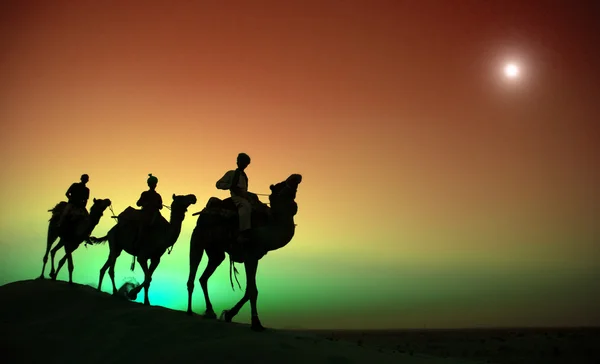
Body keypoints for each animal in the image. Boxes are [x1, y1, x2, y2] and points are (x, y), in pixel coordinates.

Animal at [186, 175, 302, 332]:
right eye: (280, 184)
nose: (296, 176)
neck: (268, 229)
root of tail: (203, 214)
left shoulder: (256, 257)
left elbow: (249, 290)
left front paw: (229, 314)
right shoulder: (250, 255)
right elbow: (253, 291)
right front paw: (256, 323)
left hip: (216, 252)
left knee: (204, 277)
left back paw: (210, 311)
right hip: (198, 239)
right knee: (193, 271)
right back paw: (189, 311)